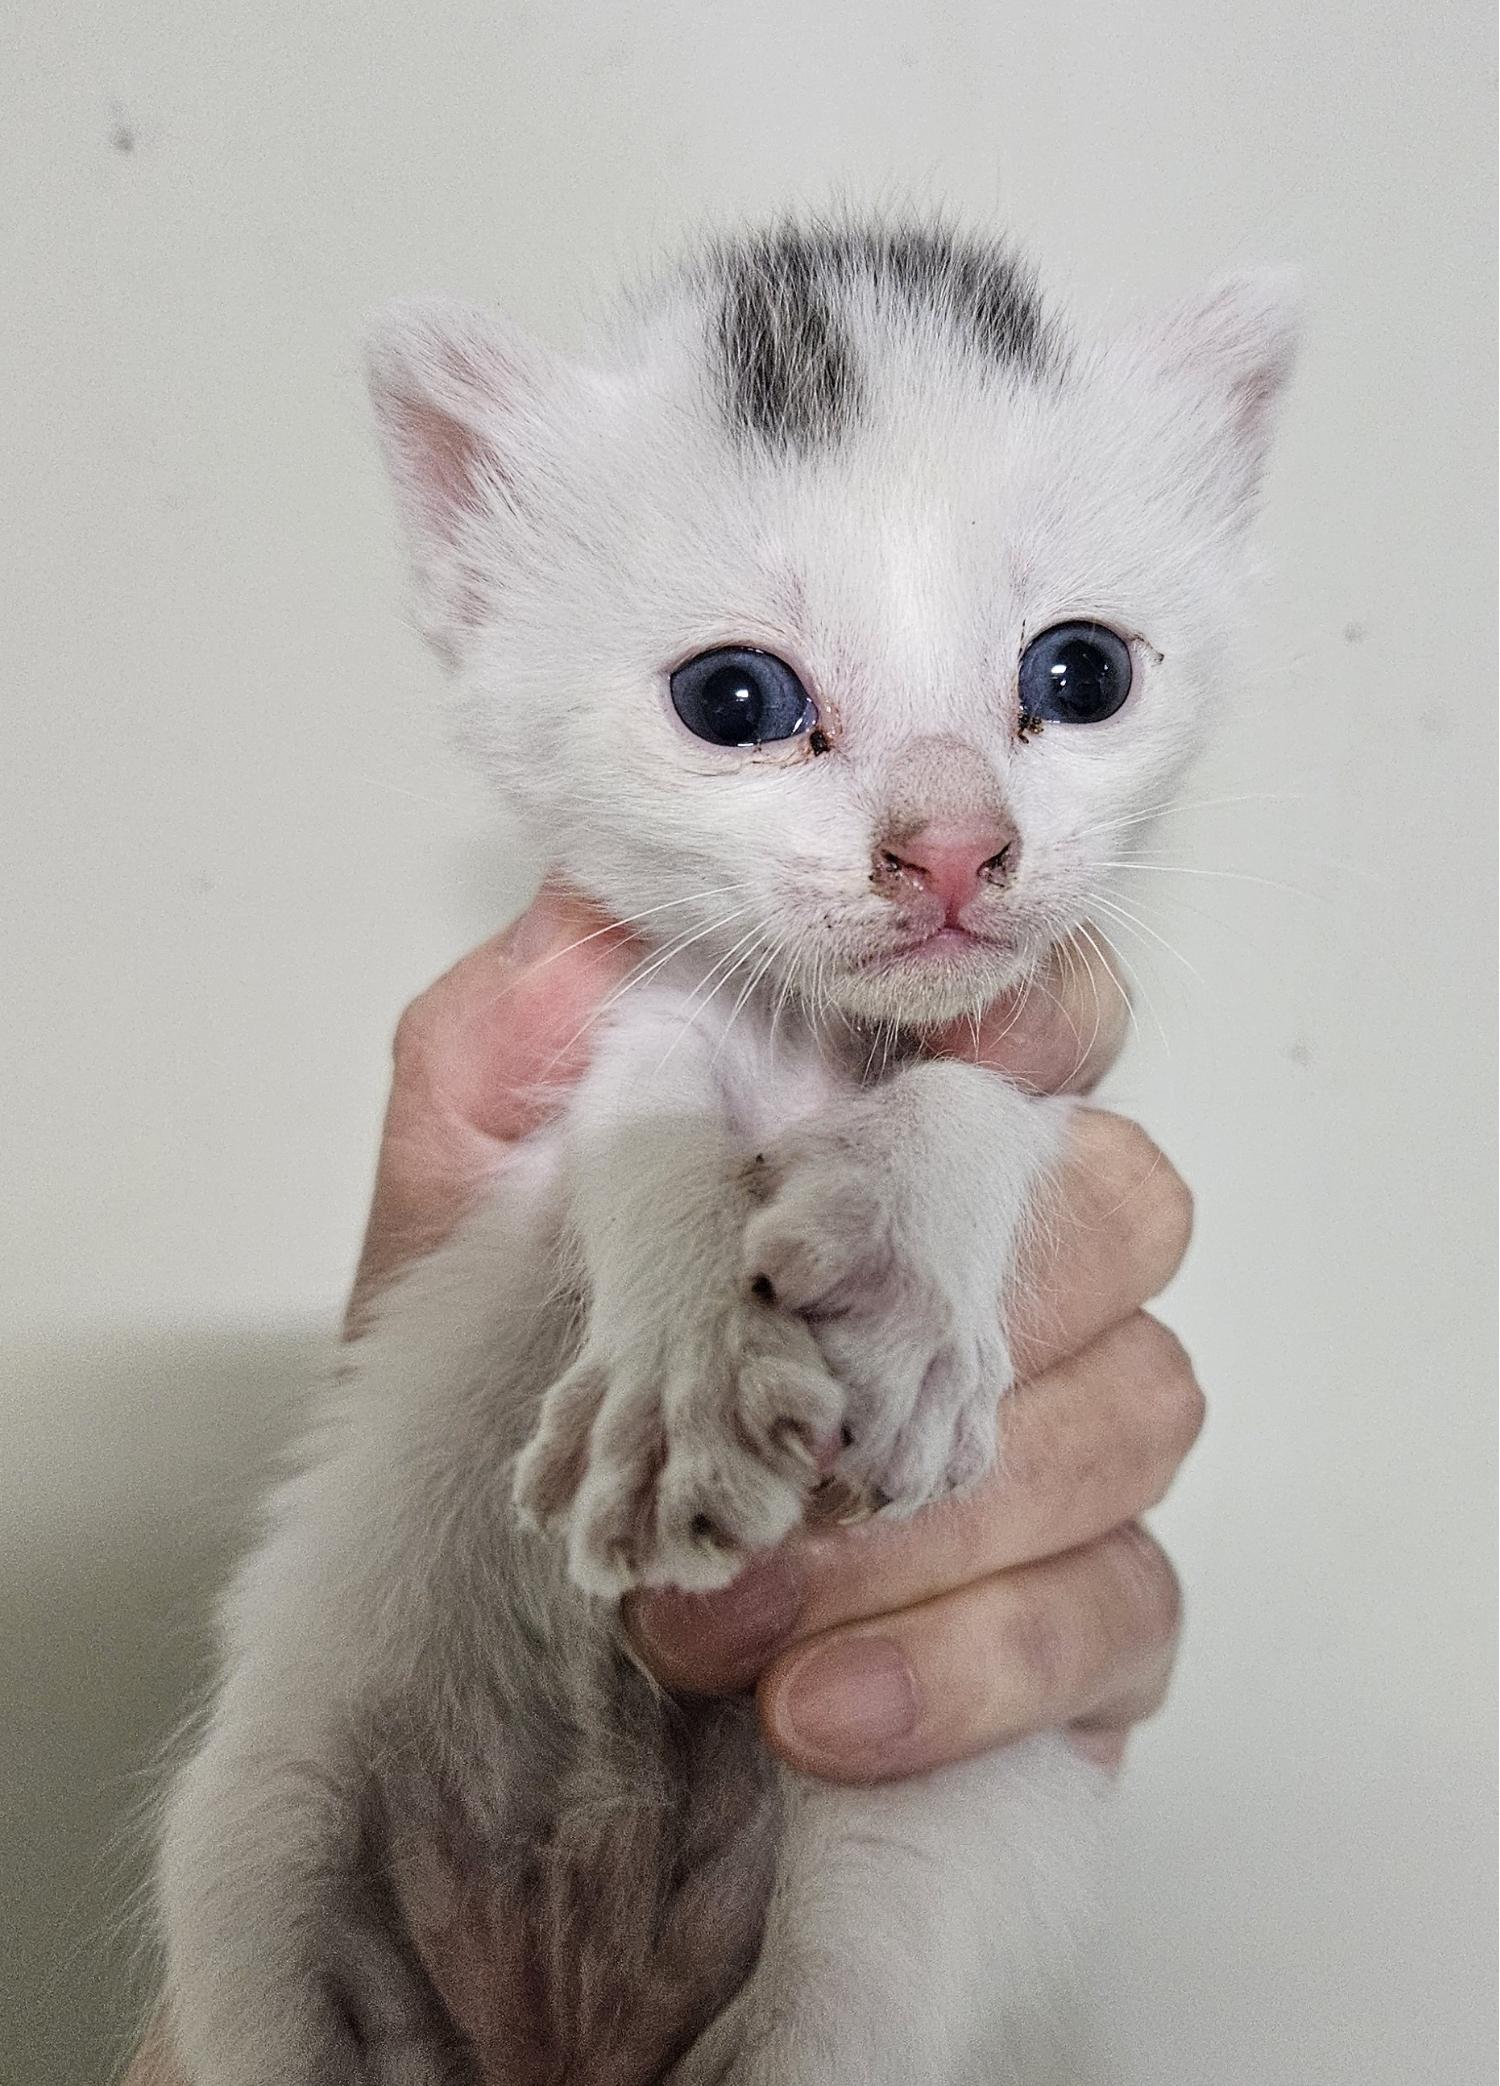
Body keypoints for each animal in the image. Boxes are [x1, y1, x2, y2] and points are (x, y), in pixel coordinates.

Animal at [155, 220, 1301, 2077]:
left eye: (1082, 673)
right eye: (736, 697)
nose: (954, 848)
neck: (823, 1054)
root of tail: (572, 2012)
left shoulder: (1042, 1056)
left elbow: (980, 1101)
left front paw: (908, 1261)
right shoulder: (624, 1031)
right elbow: (648, 1129)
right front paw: (679, 1370)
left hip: (868, 1929)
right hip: (257, 1843)